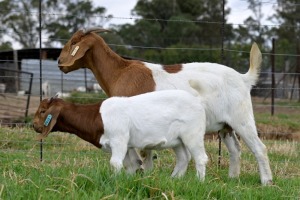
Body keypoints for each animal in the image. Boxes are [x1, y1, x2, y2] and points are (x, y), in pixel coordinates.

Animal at [57, 27, 274, 184]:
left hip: (241, 117)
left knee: (260, 148)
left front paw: (142, 173)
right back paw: (232, 179)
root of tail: (244, 78)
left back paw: (266, 181)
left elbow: (144, 153)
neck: (120, 71)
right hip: (225, 125)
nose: (59, 62)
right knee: (235, 149)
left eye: (74, 42)